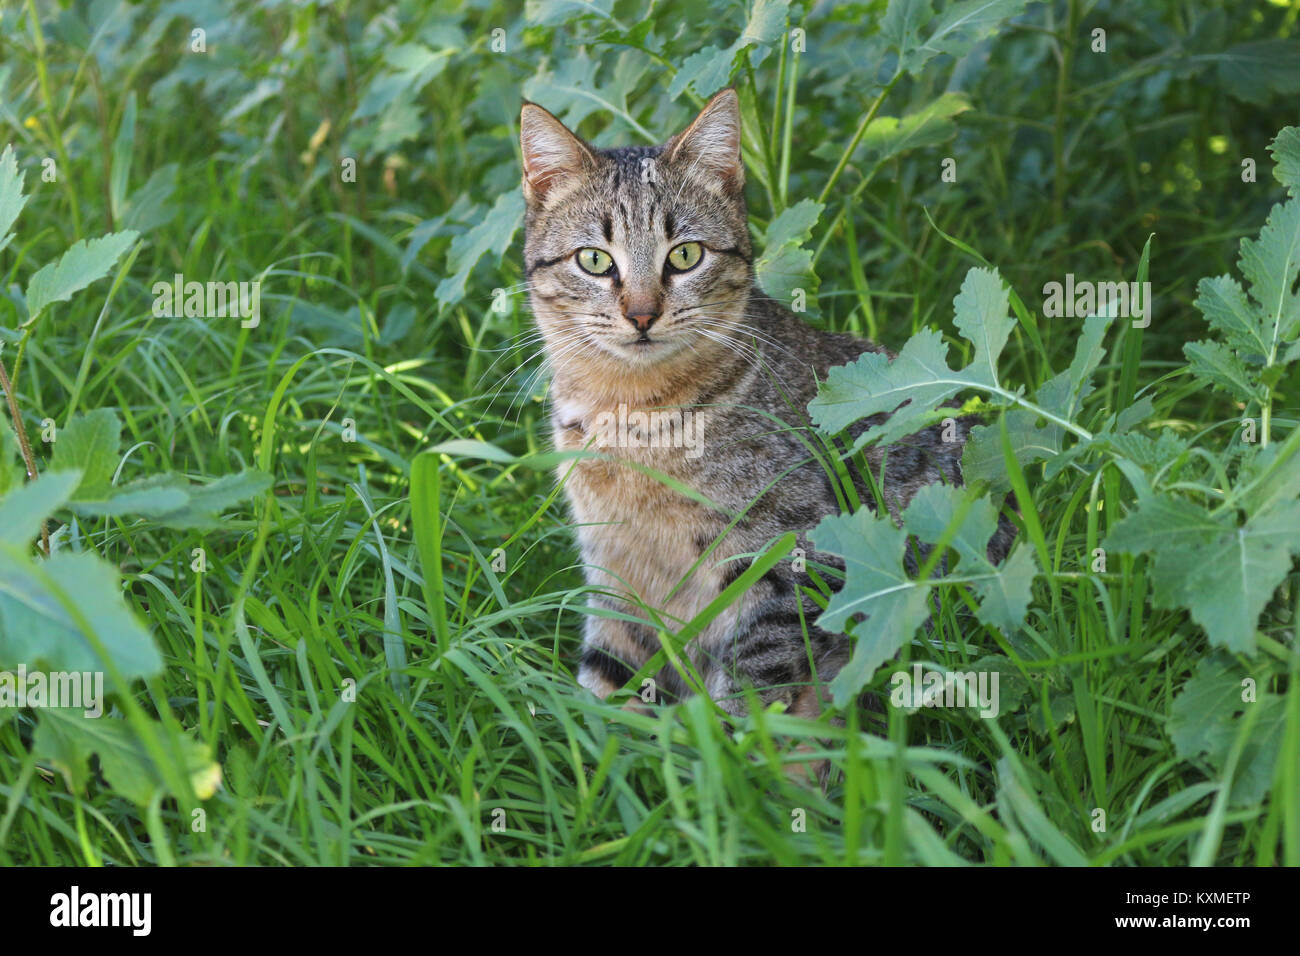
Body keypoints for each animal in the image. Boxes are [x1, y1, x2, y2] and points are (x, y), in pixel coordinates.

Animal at [520, 87, 1013, 717]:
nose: (642, 315)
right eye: (594, 260)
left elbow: (750, 693)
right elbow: (605, 698)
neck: (632, 414)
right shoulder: (613, 573)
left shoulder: (791, 557)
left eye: (685, 256)